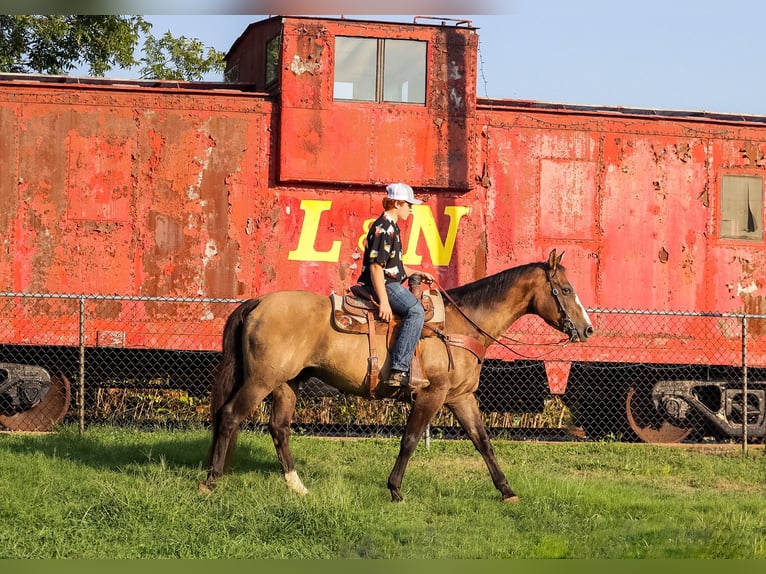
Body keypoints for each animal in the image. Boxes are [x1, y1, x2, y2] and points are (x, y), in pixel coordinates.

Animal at [202, 250, 592, 502]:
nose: (588, 329)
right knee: (230, 416)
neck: (461, 325)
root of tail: (258, 303)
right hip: (261, 381)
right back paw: (211, 480)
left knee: (279, 429)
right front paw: (395, 489)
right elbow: (410, 440)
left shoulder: (460, 397)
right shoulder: (432, 395)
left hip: (287, 385)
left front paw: (507, 491)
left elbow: (483, 442)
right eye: (566, 290)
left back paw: (297, 486)